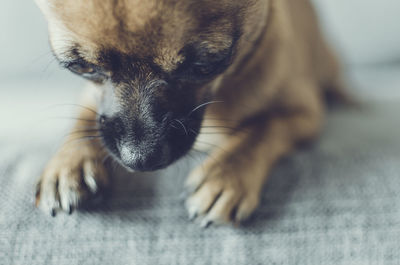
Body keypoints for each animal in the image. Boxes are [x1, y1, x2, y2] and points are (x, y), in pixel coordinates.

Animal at [35, 0, 346, 227]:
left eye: (203, 66)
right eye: (82, 67)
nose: (139, 159)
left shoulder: (304, 114)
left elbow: (261, 129)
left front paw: (224, 176)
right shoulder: (92, 99)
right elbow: (84, 121)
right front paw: (67, 165)